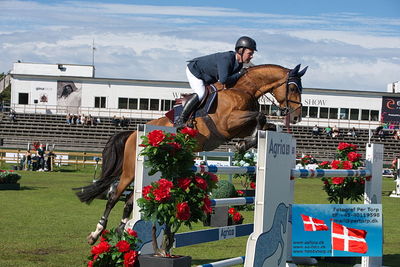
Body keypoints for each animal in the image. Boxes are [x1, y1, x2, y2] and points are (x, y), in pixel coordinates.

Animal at [75, 62, 306, 245]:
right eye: (293, 87)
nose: (296, 117)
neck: (244, 90)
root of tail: (133, 132)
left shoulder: (239, 126)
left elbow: (266, 124)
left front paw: (248, 142)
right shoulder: (227, 123)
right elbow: (259, 116)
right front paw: (244, 144)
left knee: (130, 201)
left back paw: (123, 230)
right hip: (131, 170)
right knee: (114, 196)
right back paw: (95, 234)